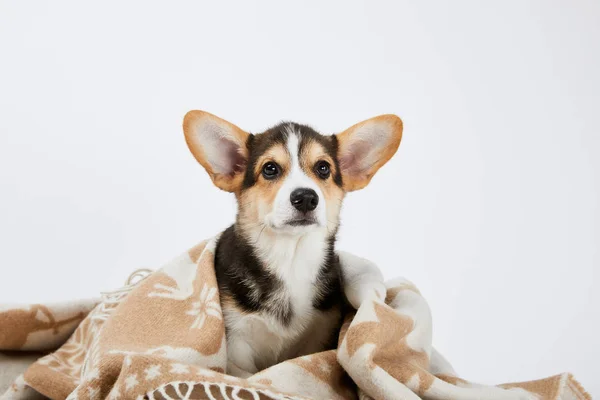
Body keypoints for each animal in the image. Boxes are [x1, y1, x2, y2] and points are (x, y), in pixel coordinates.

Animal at [183, 110, 404, 378]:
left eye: (323, 168)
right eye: (270, 169)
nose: (306, 198)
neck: (291, 258)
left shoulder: (319, 335)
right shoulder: (237, 343)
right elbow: (246, 374)